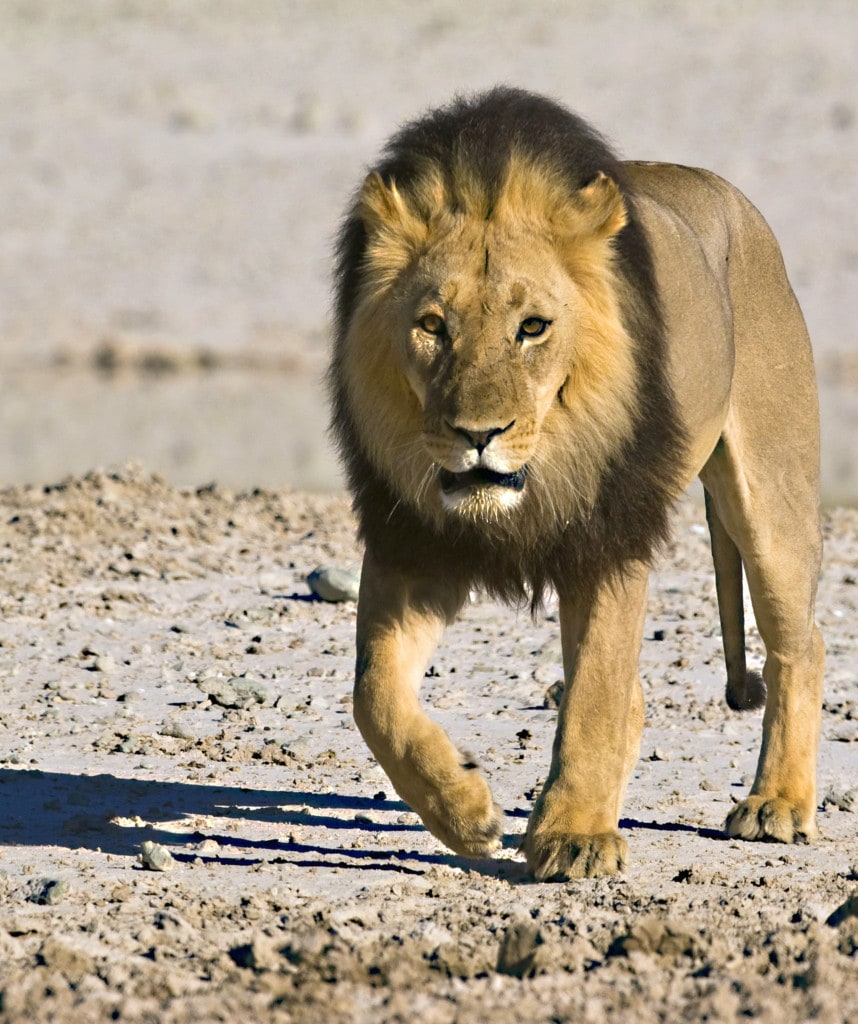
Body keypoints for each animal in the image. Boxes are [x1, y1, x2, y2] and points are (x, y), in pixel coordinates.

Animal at [329, 87, 824, 881]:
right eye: (432, 325)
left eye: (533, 327)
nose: (477, 435)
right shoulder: (412, 539)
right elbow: (375, 693)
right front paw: (465, 812)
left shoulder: (610, 536)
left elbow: (593, 693)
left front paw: (577, 836)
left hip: (772, 497)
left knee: (799, 645)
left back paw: (776, 803)